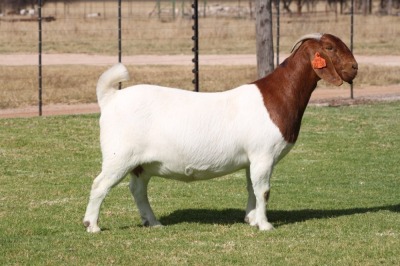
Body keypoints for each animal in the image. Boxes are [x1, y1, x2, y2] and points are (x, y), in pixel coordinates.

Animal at [83, 33, 358, 233]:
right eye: (330, 47)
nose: (355, 67)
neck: (277, 96)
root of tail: (110, 98)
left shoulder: (251, 158)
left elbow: (251, 188)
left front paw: (251, 219)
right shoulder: (263, 155)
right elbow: (264, 190)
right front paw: (265, 225)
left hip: (141, 163)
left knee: (138, 190)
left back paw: (154, 222)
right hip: (119, 156)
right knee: (100, 184)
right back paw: (92, 225)